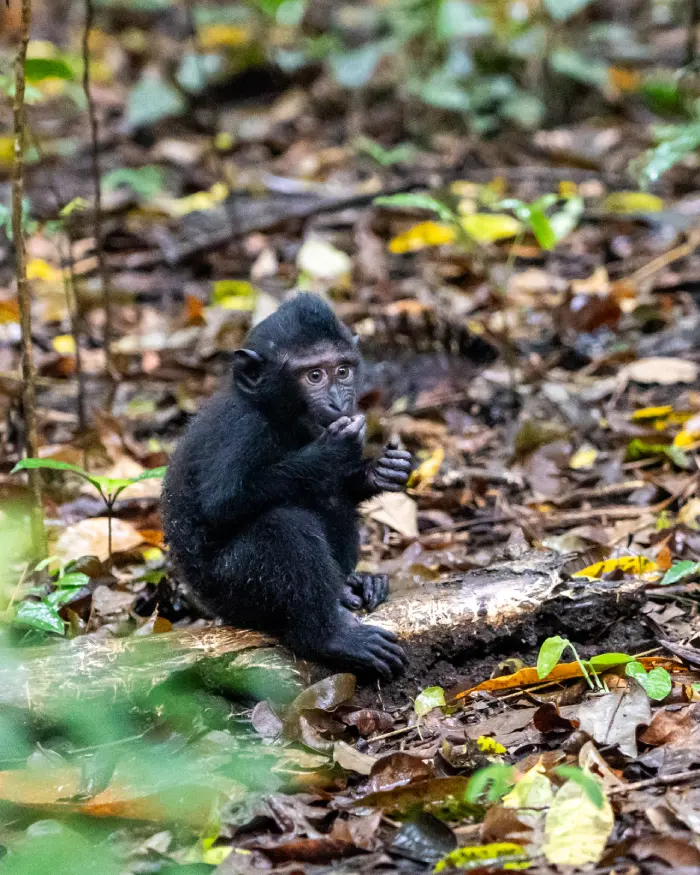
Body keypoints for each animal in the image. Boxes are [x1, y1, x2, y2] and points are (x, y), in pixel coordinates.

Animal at [163, 292, 410, 676]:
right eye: (314, 375)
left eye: (342, 371)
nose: (339, 401)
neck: (277, 415)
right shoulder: (243, 429)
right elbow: (223, 503)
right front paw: (333, 449)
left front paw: (381, 471)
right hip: (236, 593)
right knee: (283, 524)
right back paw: (329, 635)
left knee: (330, 498)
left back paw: (350, 585)